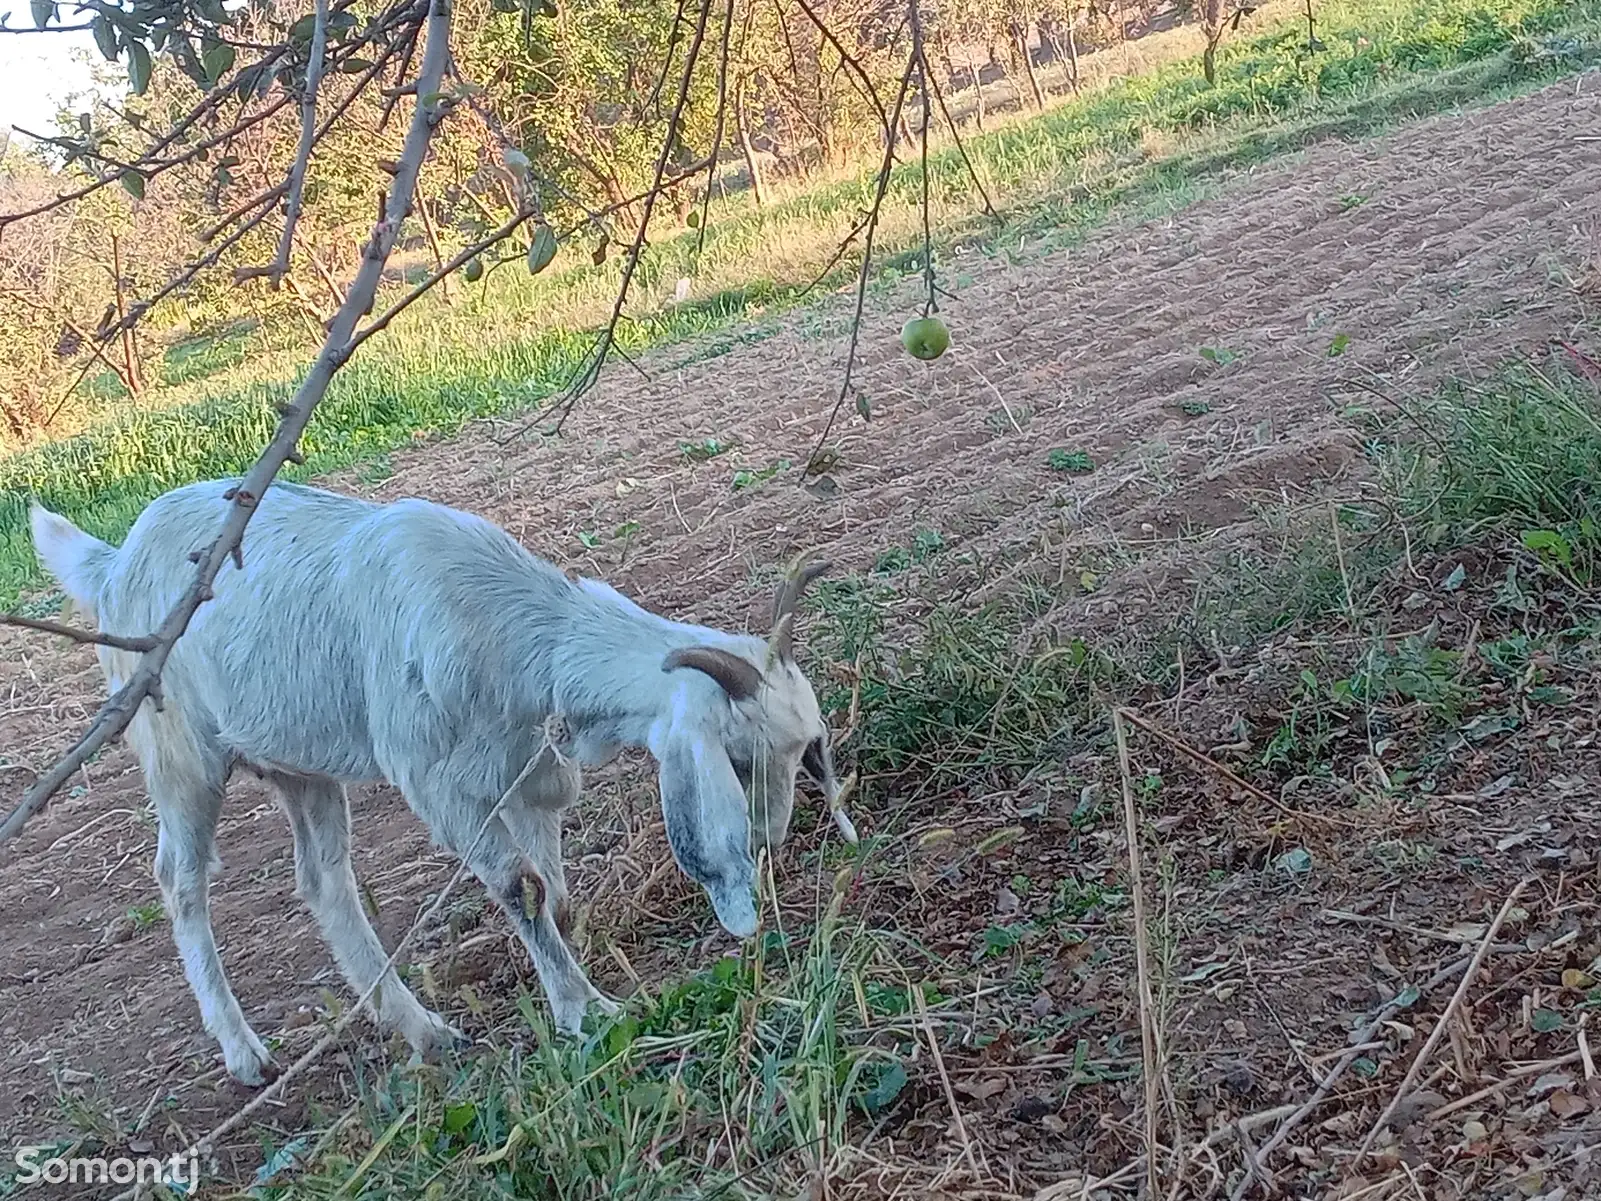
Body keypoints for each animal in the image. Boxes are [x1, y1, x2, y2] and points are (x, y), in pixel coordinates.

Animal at [31, 480, 845, 1088]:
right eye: (739, 756)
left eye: (807, 750)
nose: (774, 838)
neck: (517, 630)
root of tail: (114, 562)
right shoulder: (436, 782)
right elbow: (521, 885)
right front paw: (587, 1010)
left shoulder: (529, 773)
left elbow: (552, 883)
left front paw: (571, 966)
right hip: (179, 752)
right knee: (180, 878)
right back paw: (245, 1053)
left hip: (300, 764)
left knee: (323, 879)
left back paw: (423, 1030)